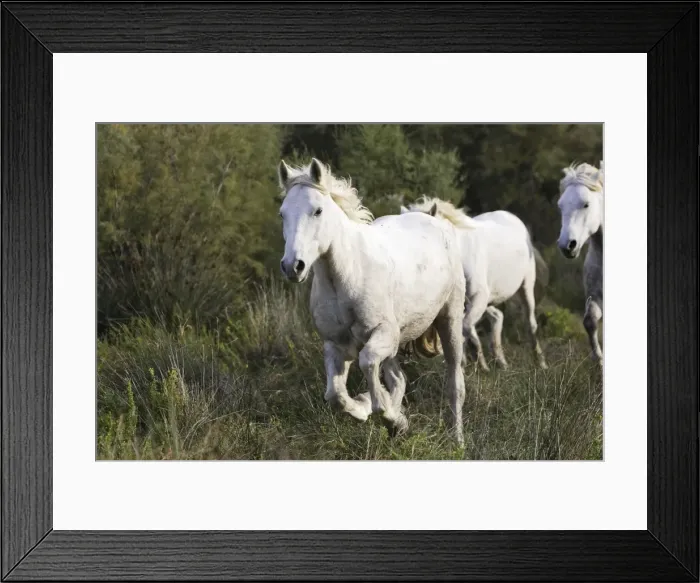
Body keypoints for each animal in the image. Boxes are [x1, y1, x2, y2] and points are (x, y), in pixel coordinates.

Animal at [277, 158, 468, 444]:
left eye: (318, 211)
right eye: (282, 214)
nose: (293, 266)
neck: (348, 276)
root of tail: (436, 221)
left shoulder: (383, 334)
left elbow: (366, 362)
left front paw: (384, 412)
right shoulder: (335, 344)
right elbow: (335, 395)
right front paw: (375, 411)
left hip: (449, 320)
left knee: (455, 384)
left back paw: (457, 442)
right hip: (396, 342)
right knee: (398, 378)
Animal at [400, 197, 548, 371]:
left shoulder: (478, 297)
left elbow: (464, 329)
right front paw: (474, 364)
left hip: (525, 287)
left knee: (530, 323)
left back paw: (541, 363)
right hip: (488, 300)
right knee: (498, 317)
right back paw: (500, 362)